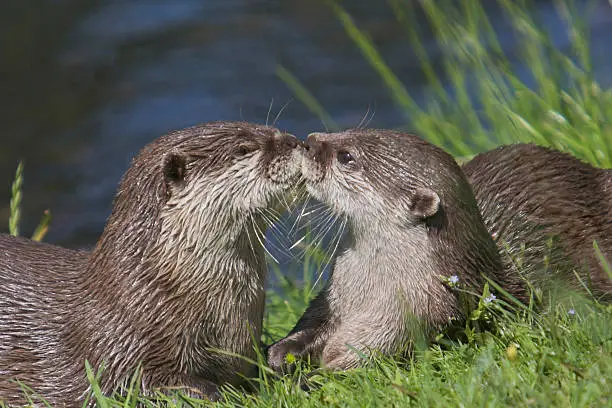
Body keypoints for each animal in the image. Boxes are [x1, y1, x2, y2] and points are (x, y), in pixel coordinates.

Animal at [268, 131, 612, 372]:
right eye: (348, 131)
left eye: (346, 156)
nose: (308, 141)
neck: (372, 296)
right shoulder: (332, 297)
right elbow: (313, 322)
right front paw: (280, 351)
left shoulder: (417, 320)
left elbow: (366, 363)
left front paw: (311, 378)